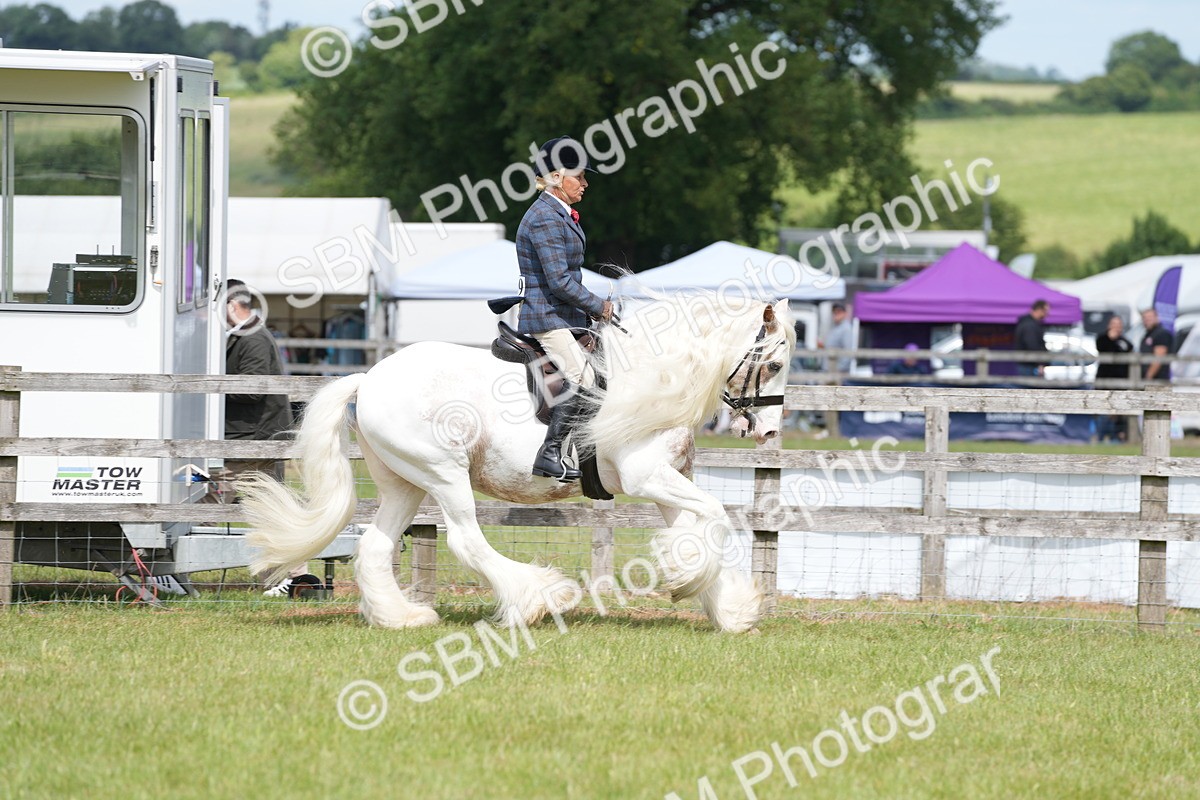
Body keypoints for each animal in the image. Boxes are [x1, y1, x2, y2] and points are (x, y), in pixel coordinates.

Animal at [240, 292, 795, 633]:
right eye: (773, 364)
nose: (767, 432)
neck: (655, 376)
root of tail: (369, 377)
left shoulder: (670, 480)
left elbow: (695, 530)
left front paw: (727, 607)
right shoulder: (647, 477)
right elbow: (716, 517)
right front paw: (693, 585)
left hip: (405, 482)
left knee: (375, 546)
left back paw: (403, 617)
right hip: (443, 473)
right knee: (466, 540)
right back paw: (540, 598)